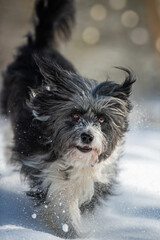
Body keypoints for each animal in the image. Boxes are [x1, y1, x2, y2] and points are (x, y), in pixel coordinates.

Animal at [0, 0, 136, 238]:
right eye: (75, 114)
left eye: (102, 119)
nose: (87, 137)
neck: (76, 161)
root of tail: (40, 46)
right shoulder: (48, 175)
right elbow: (62, 206)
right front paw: (70, 231)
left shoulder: (95, 178)